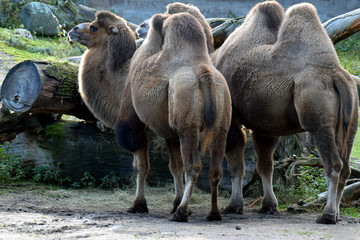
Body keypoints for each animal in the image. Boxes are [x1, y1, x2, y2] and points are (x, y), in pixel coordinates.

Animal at [116, 12, 232, 222]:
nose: (140, 26)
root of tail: (205, 74)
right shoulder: (171, 133)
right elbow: (174, 165)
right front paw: (174, 202)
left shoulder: (132, 112)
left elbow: (140, 163)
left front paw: (138, 205)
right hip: (221, 124)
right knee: (215, 170)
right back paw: (213, 213)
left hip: (188, 128)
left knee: (193, 167)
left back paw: (182, 212)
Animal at [212, 0, 358, 224]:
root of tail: (336, 75)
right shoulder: (265, 126)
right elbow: (265, 165)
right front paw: (269, 206)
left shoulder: (233, 120)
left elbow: (237, 165)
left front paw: (234, 206)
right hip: (351, 121)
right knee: (346, 166)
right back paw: (336, 213)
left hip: (319, 120)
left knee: (333, 164)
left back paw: (327, 214)